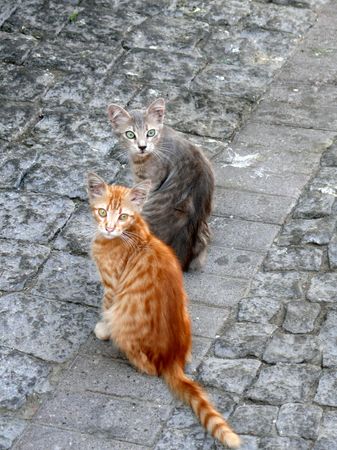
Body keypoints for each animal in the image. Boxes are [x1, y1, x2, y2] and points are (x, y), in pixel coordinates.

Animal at [86, 171, 239, 446]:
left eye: (123, 216)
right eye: (102, 212)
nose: (109, 227)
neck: (133, 232)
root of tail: (172, 359)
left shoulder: (112, 285)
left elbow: (106, 307)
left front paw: (102, 329)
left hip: (126, 327)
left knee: (147, 367)